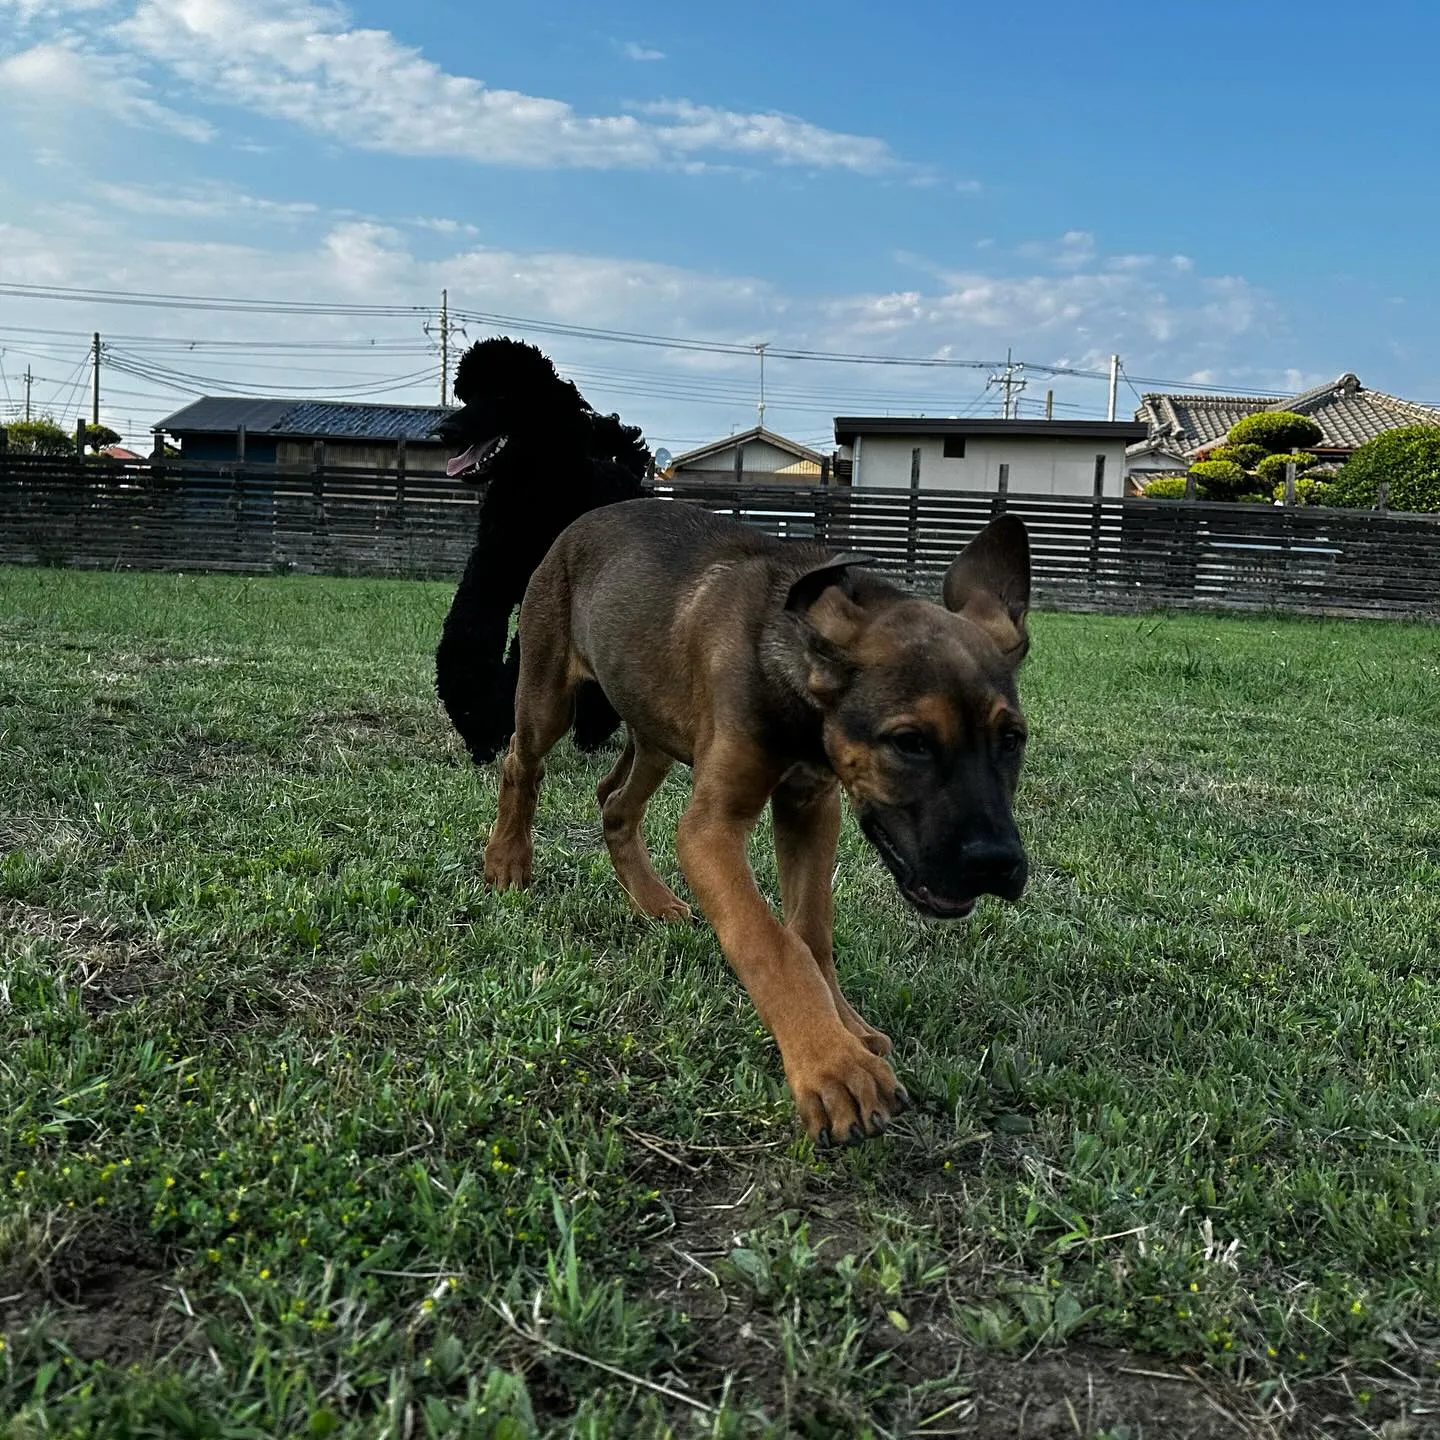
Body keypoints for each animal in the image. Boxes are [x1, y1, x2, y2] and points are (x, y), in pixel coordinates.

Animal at [429, 338, 650, 766]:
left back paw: (593, 729)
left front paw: (496, 720)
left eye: (501, 394)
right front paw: (476, 717)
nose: (444, 431)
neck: (533, 499)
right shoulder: (489, 576)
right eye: (467, 394)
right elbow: (466, 634)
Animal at [489, 498, 1031, 1146]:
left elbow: (811, 932)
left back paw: (652, 900)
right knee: (521, 762)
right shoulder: (712, 827)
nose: (997, 865)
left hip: (656, 729)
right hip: (547, 694)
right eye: (910, 742)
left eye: (1013, 739)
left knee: (615, 802)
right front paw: (832, 1067)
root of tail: (583, 519)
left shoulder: (810, 806)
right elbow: (770, 942)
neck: (799, 697)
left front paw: (847, 1027)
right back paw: (507, 860)